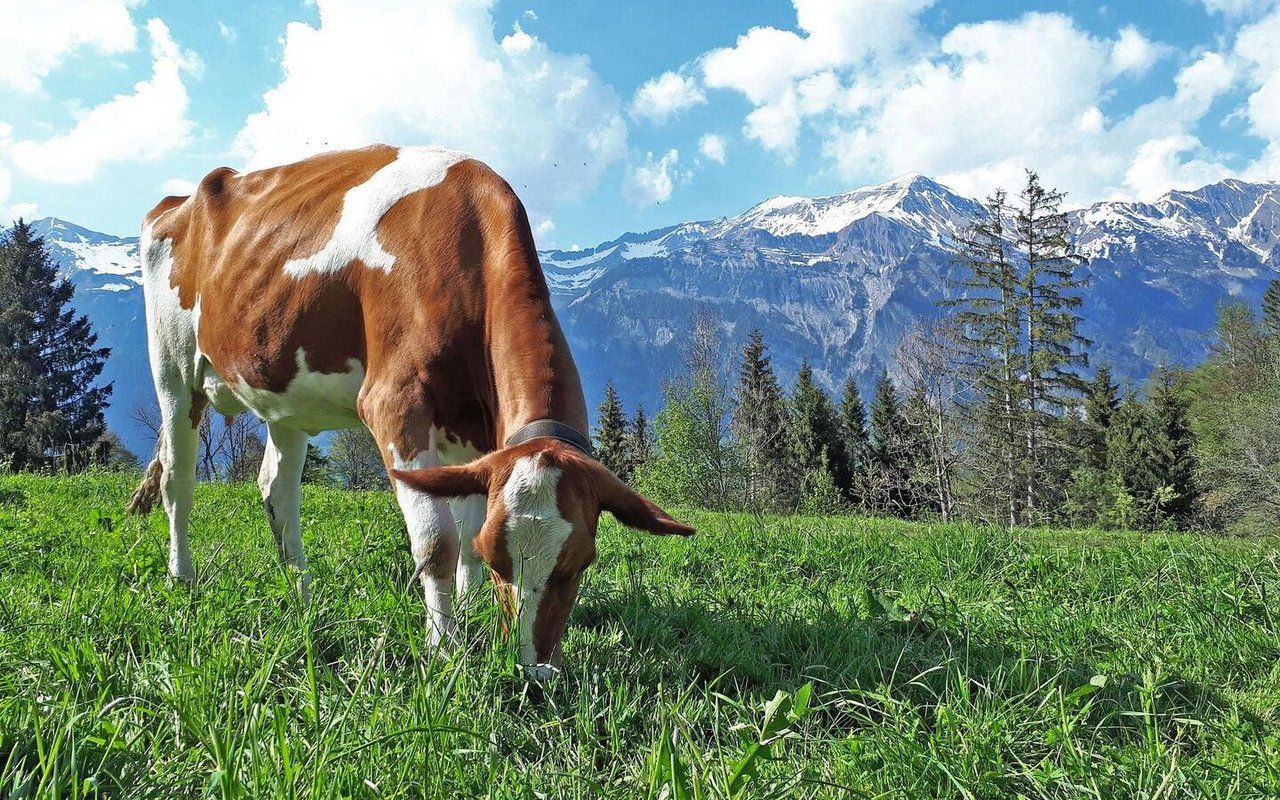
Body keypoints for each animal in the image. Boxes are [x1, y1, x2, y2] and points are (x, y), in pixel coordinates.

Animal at [125, 144, 694, 673]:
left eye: (579, 564)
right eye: (500, 560)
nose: (532, 669)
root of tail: (182, 199)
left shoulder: (475, 438)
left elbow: (463, 529)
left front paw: (467, 615)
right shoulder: (394, 405)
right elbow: (440, 542)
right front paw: (443, 648)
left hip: (285, 390)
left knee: (277, 490)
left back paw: (302, 598)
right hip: (172, 368)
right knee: (177, 479)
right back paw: (183, 580)